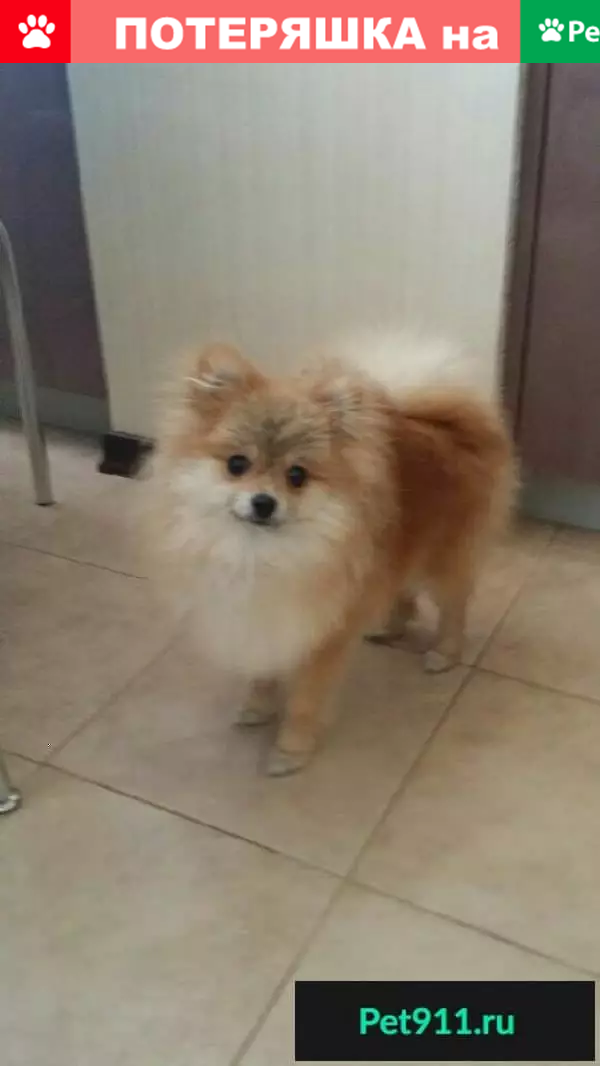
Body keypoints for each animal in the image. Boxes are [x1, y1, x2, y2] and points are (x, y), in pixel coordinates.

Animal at [149, 334, 515, 775]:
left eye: (297, 476)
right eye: (237, 464)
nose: (263, 502)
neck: (261, 553)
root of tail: (449, 423)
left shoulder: (323, 636)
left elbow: (305, 701)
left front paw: (291, 750)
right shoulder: (265, 621)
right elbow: (263, 672)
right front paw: (258, 707)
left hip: (443, 558)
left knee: (453, 606)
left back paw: (444, 653)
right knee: (403, 591)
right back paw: (389, 627)